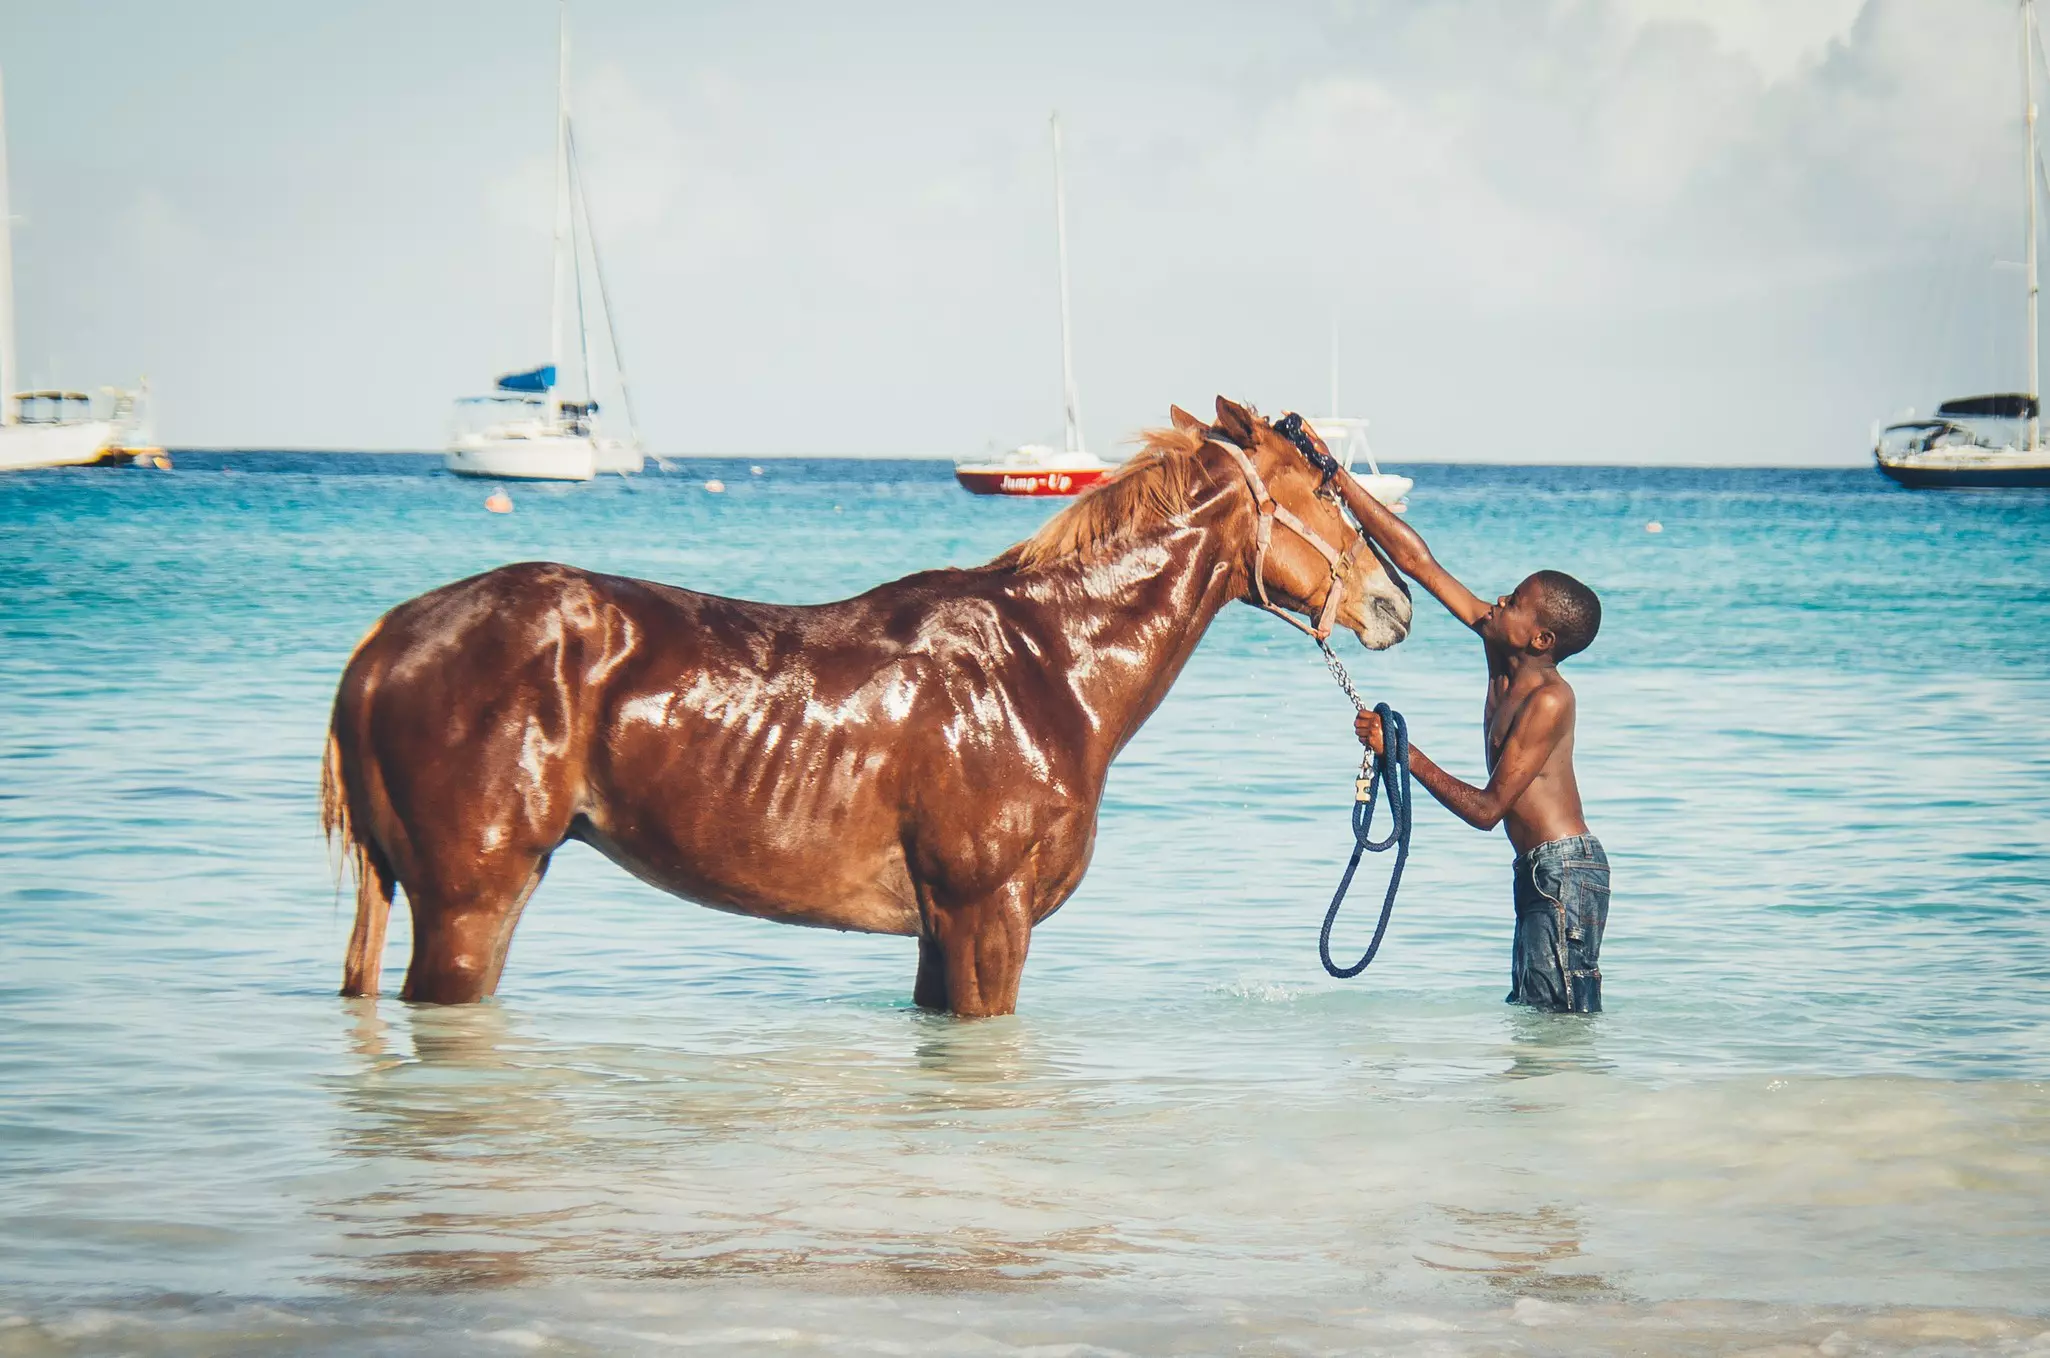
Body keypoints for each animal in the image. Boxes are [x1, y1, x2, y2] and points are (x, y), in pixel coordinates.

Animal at [322, 397, 1414, 1017]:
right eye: (1326, 485)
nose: (1394, 600)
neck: (1047, 665)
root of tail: (388, 637)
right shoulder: (985, 916)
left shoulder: (941, 931)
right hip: (472, 902)